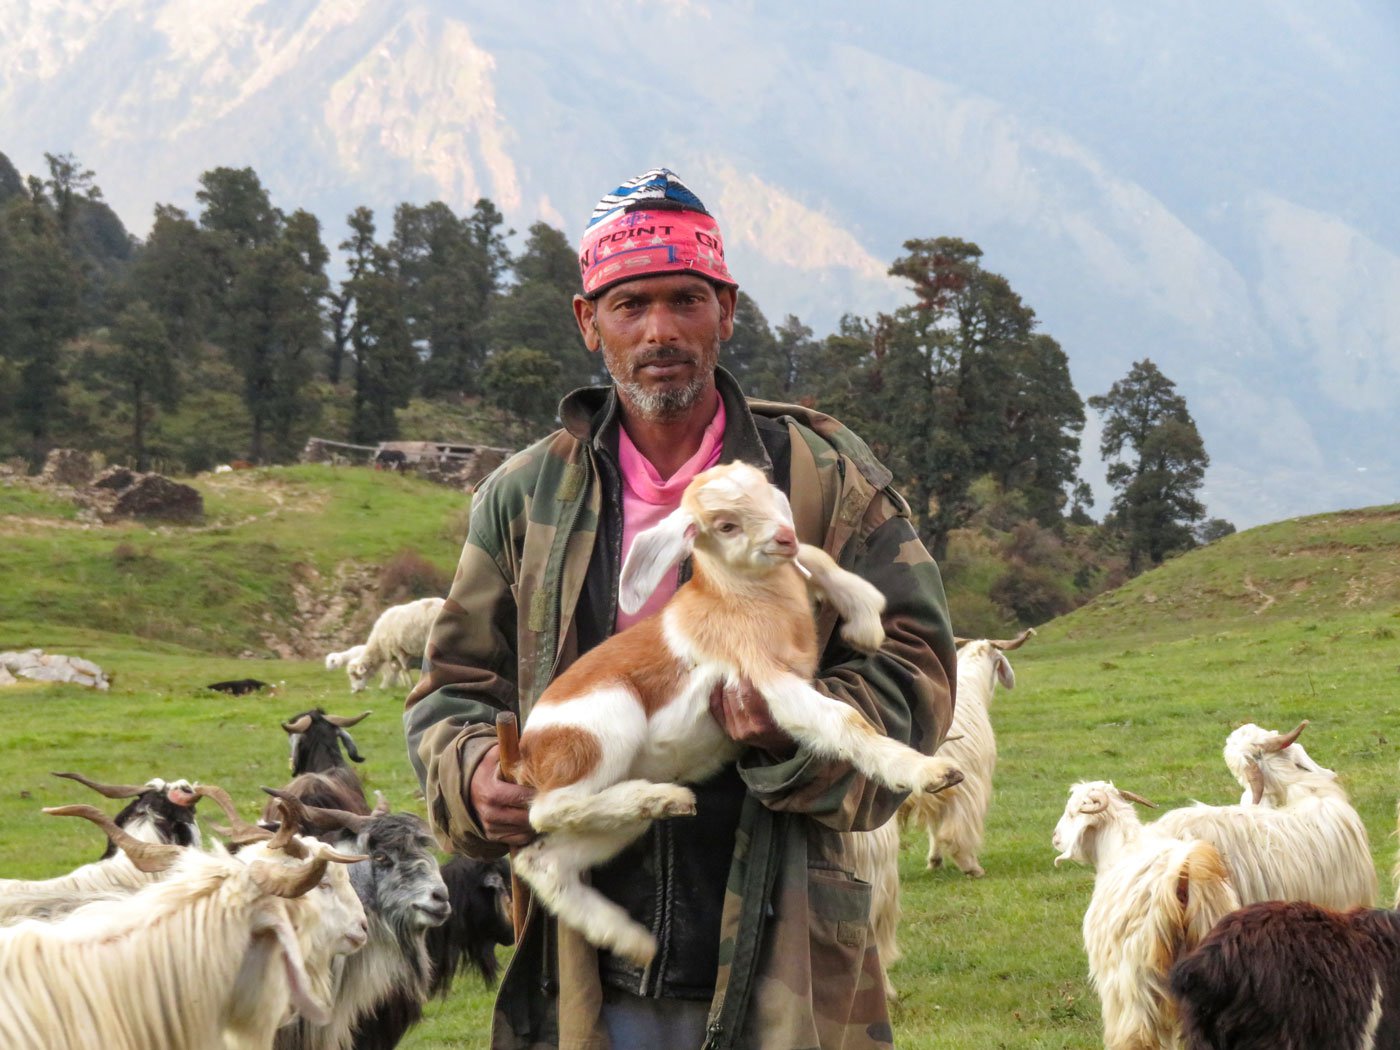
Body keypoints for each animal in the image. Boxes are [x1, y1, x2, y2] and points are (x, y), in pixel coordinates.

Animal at [1052, 784, 1243, 1050]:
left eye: (1072, 813)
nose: (1055, 837)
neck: (1119, 849)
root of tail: (1182, 876)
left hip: (1138, 979)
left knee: (1139, 1035)